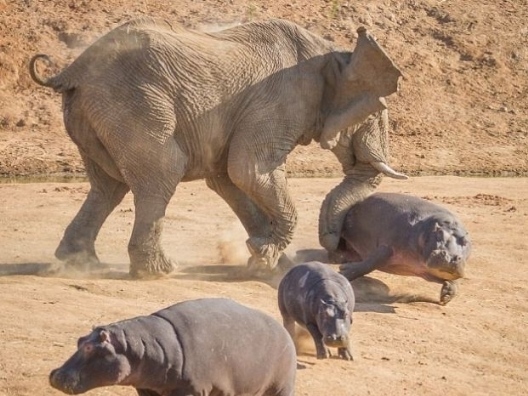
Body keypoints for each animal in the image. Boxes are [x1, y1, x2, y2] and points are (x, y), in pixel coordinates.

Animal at [29, 17, 404, 276]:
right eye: (376, 113)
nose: (334, 249)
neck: (334, 54)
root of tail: (72, 70)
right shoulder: (281, 100)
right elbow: (248, 170)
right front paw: (266, 257)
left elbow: (229, 178)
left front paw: (268, 259)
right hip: (134, 104)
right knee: (161, 173)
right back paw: (158, 272)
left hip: (94, 114)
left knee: (108, 186)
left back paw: (79, 263)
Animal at [49, 296, 296, 396]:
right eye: (79, 340)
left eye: (90, 348)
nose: (55, 374)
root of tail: (285, 332)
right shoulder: (147, 389)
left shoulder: (191, 390)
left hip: (282, 387)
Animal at [332, 193, 472, 304]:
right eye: (438, 232)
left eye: (466, 241)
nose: (452, 258)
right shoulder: (387, 246)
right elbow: (370, 263)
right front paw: (344, 272)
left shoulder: (423, 270)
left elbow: (448, 280)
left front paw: (446, 296)